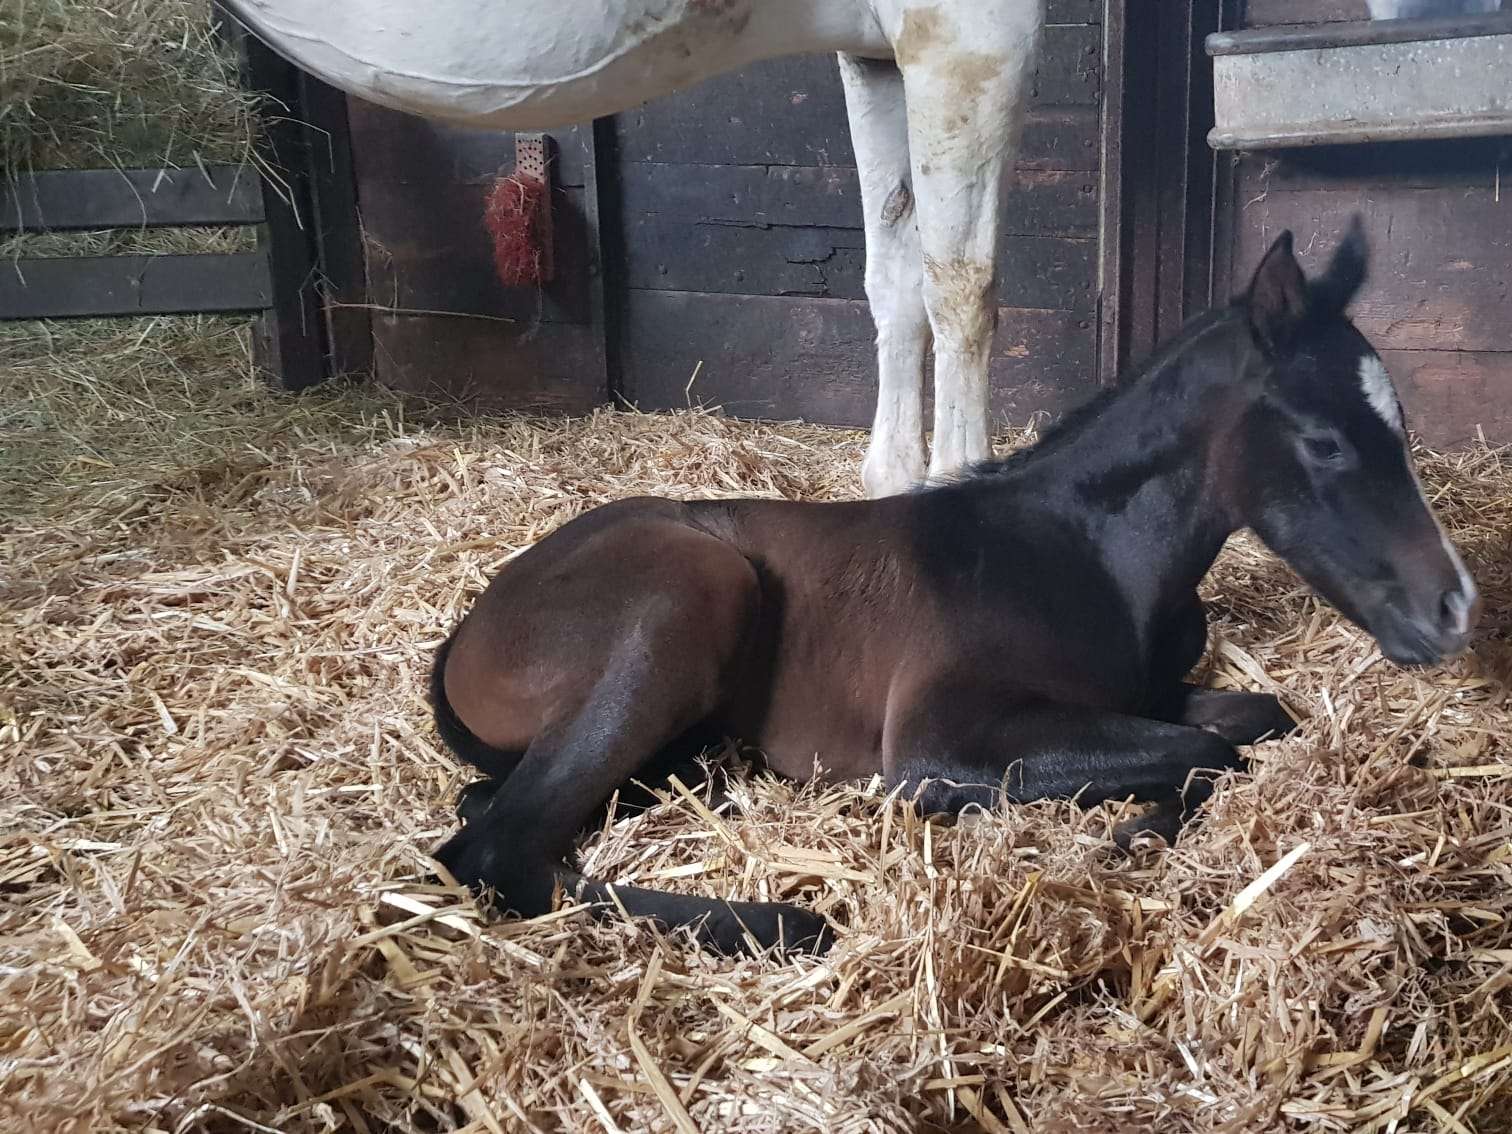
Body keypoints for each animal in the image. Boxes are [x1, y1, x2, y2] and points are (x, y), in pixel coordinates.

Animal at [428, 218, 1479, 955]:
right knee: (495, 850)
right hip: (691, 589)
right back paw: (783, 925)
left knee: (493, 809)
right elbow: (1202, 752)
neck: (1084, 555)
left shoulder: (1137, 694)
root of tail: (475, 620)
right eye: (1326, 441)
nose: (1455, 607)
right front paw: (1134, 830)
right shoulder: (938, 742)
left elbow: (1255, 719)